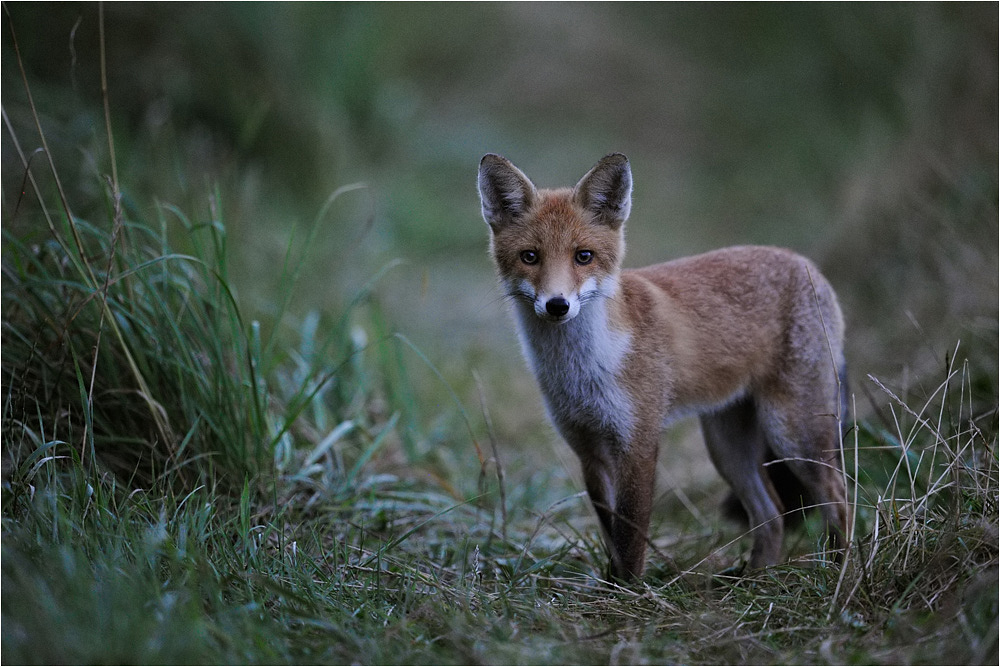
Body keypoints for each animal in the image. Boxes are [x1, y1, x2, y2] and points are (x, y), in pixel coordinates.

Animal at [478, 151, 852, 580]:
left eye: (583, 256)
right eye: (530, 257)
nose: (558, 305)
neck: (583, 370)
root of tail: (804, 261)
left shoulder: (638, 442)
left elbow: (630, 537)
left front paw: (628, 593)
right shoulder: (588, 449)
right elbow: (611, 534)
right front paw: (610, 586)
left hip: (793, 433)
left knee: (839, 499)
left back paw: (843, 575)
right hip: (727, 447)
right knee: (771, 514)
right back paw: (756, 581)